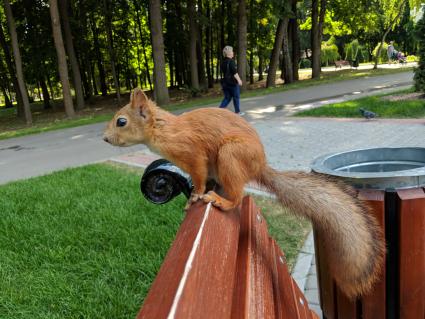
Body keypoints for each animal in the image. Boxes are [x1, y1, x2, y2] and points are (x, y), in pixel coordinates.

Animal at [102, 88, 384, 300]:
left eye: (121, 121)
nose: (104, 138)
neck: (162, 129)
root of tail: (258, 165)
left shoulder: (193, 154)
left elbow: (198, 177)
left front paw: (196, 195)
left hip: (230, 155)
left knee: (237, 197)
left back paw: (219, 199)